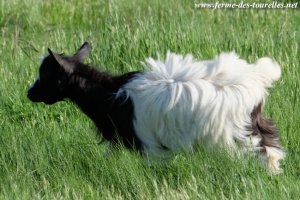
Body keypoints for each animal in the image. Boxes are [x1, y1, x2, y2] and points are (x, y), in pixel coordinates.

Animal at [27, 42, 284, 173]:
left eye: (46, 75)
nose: (29, 93)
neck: (109, 95)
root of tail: (256, 80)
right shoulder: (119, 139)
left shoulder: (148, 143)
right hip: (253, 123)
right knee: (271, 145)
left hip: (235, 132)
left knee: (261, 150)